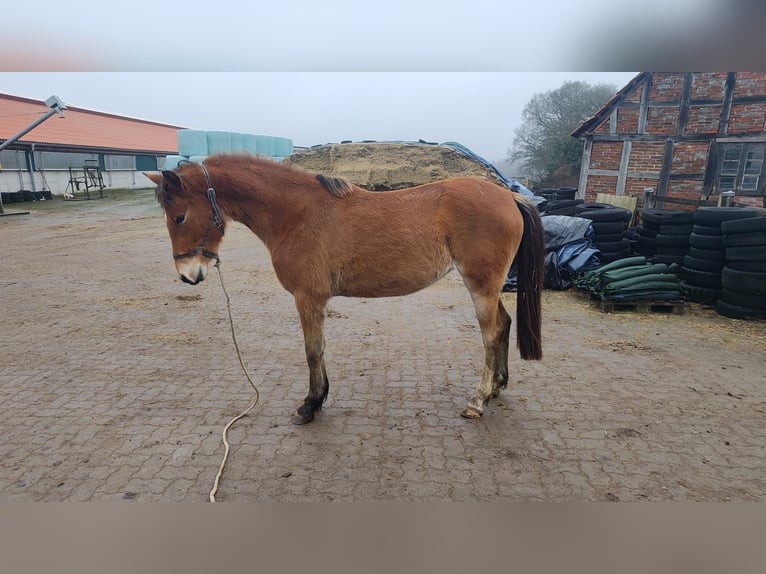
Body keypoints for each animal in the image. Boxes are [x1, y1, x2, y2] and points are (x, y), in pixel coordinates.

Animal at [147, 155, 544, 426]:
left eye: (180, 216)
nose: (188, 275)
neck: (296, 214)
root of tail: (509, 197)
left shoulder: (308, 298)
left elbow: (312, 351)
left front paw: (310, 404)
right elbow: (319, 350)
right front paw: (319, 398)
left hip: (480, 285)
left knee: (490, 334)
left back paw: (477, 401)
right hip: (488, 288)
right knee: (504, 325)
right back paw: (496, 388)